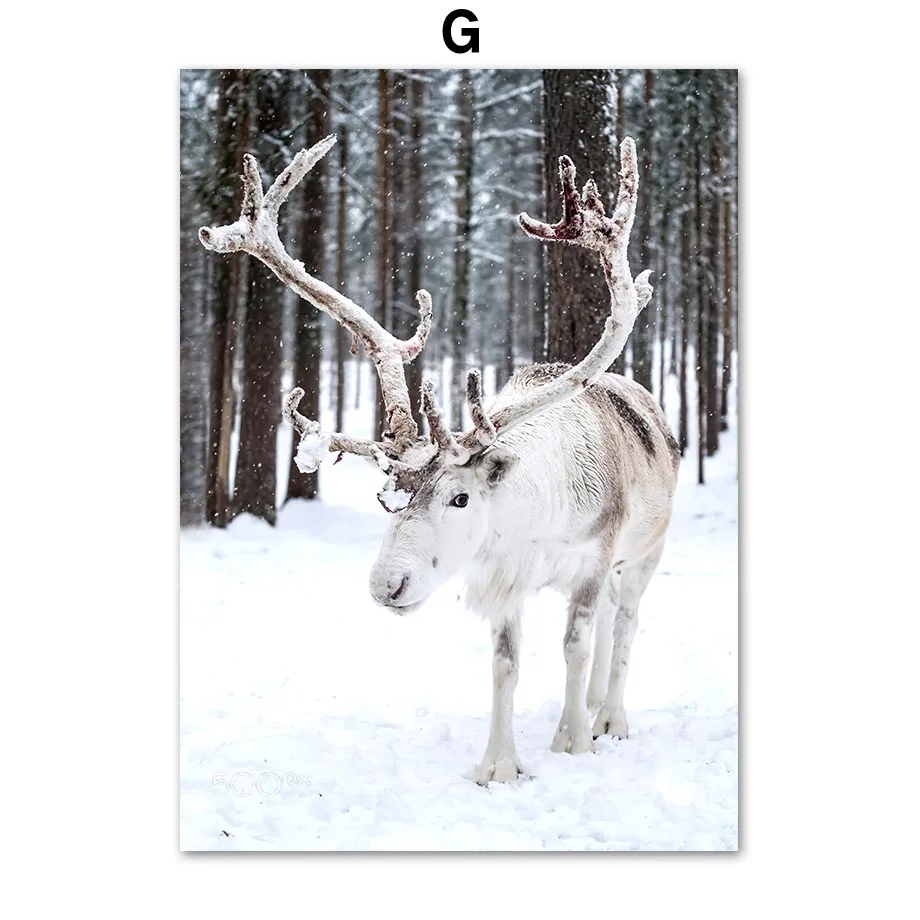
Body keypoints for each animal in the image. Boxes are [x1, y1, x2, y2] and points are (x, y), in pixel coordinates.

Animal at [198, 133, 680, 784]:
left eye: (460, 496)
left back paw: (610, 717)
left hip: (646, 552)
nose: (388, 585)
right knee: (610, 621)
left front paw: (574, 743)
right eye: (388, 499)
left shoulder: (593, 560)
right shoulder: (504, 573)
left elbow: (574, 648)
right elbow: (506, 662)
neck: (536, 520)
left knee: (624, 620)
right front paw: (499, 766)